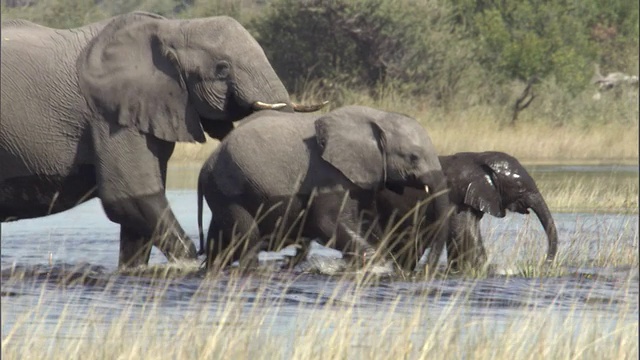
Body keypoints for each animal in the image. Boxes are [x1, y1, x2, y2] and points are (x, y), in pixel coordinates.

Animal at [1, 11, 324, 268]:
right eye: (222, 69)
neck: (171, 29)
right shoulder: (109, 116)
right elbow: (131, 197)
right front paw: (191, 265)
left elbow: (136, 221)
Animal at [198, 106, 452, 272]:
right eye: (413, 157)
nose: (424, 270)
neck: (376, 117)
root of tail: (205, 167)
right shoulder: (328, 174)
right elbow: (327, 221)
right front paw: (377, 266)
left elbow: (368, 223)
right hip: (229, 189)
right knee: (247, 236)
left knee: (220, 240)